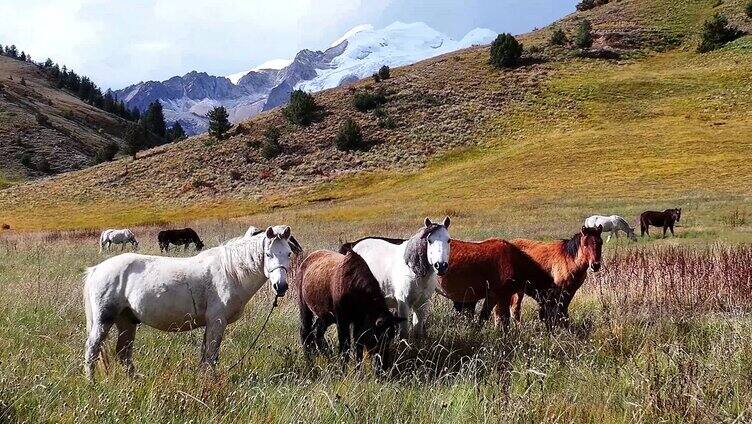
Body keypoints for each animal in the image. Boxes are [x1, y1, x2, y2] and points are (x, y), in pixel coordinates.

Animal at [82, 224, 294, 380]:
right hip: (103, 321)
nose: (281, 286)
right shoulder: (217, 322)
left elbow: (206, 355)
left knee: (123, 354)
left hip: (126, 321)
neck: (230, 271)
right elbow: (211, 355)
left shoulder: (210, 324)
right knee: (92, 349)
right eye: (268, 254)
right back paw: (91, 382)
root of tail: (96, 269)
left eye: (289, 253)